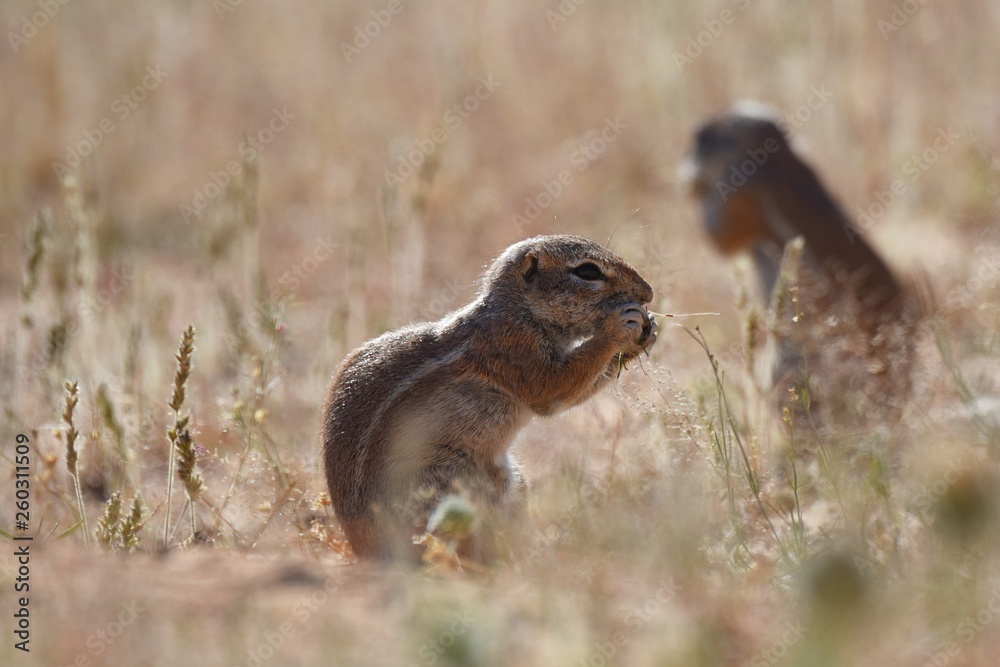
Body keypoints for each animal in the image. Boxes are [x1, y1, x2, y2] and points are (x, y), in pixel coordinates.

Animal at [324, 234, 660, 560]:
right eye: (587, 271)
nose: (648, 292)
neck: (520, 310)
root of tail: (364, 549)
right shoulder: (514, 344)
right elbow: (554, 388)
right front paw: (618, 327)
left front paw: (648, 333)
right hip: (446, 487)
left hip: (513, 482)